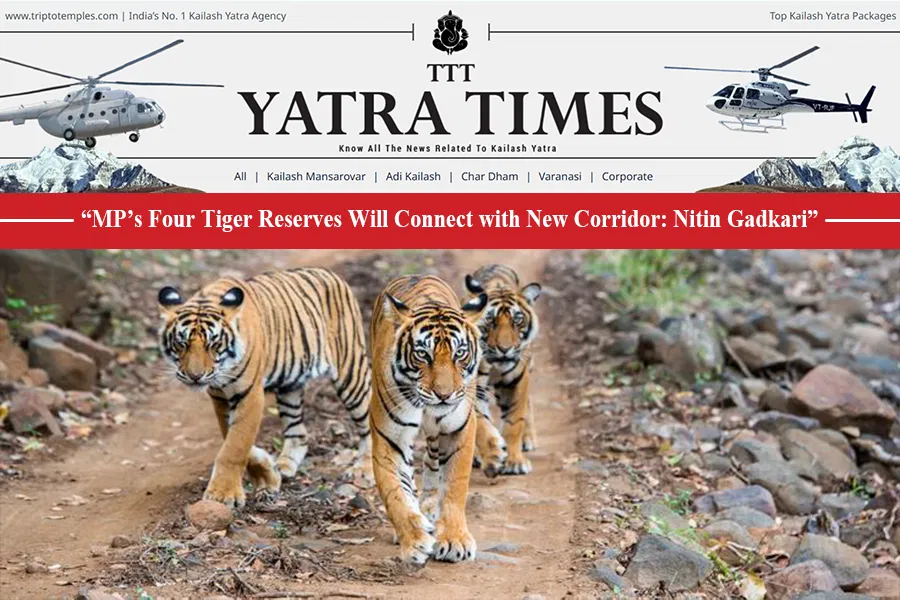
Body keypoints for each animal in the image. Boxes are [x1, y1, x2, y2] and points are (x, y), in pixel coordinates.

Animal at [157, 268, 372, 508]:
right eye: (181, 343)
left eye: (214, 344)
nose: (195, 376)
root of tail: (331, 274)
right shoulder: (220, 397)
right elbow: (231, 436)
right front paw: (267, 474)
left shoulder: (249, 394)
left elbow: (235, 445)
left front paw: (223, 494)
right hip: (290, 386)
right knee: (298, 432)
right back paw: (285, 466)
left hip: (351, 371)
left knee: (368, 421)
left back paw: (364, 469)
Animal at [369, 274, 487, 564]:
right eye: (423, 354)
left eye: (459, 353)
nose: (443, 395)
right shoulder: (389, 437)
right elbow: (395, 492)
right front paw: (414, 541)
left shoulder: (459, 430)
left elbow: (455, 486)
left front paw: (454, 540)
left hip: (438, 434)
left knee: (433, 463)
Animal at [464, 264, 542, 476]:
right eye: (491, 321)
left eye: (517, 321)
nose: (505, 349)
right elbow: (481, 423)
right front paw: (493, 456)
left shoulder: (517, 380)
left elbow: (514, 421)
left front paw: (515, 461)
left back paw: (528, 439)